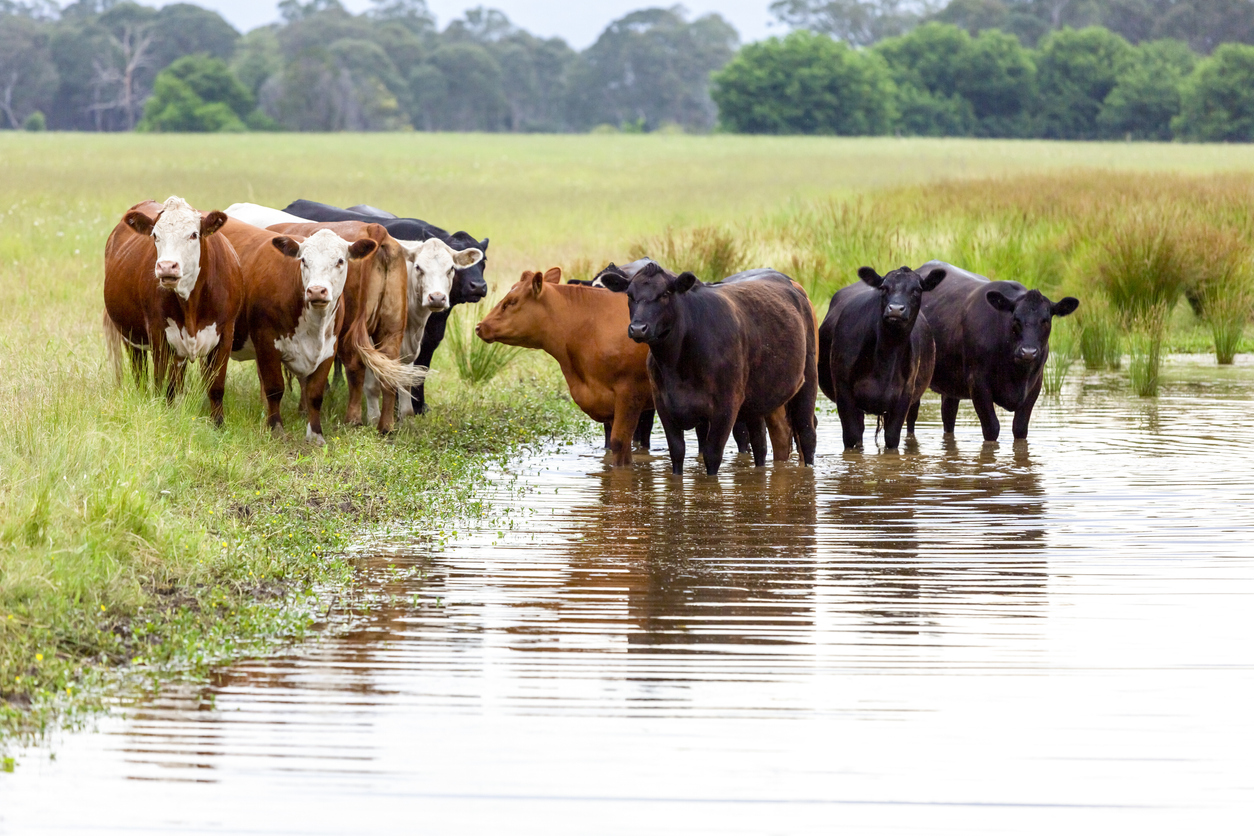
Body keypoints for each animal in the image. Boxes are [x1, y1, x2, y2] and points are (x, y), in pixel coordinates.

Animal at [103, 196, 243, 425]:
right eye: (155, 235)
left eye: (193, 234)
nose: (167, 266)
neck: (191, 304)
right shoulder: (158, 334)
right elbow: (162, 386)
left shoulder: (225, 334)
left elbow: (216, 387)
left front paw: (218, 425)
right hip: (131, 337)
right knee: (141, 376)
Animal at [281, 200, 490, 415]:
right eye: (419, 267)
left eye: (484, 261)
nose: (478, 286)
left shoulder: (428, 340)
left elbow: (418, 372)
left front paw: (419, 406)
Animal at [601, 262, 818, 476]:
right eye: (630, 295)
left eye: (665, 293)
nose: (638, 328)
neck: (677, 365)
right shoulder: (663, 404)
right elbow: (677, 452)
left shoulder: (726, 406)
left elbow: (712, 454)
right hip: (756, 400)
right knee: (760, 445)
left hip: (807, 380)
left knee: (807, 433)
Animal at [818, 265, 947, 450]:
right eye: (884, 288)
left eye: (917, 290)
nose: (896, 309)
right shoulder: (843, 390)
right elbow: (851, 437)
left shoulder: (905, 395)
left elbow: (892, 438)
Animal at [916, 260, 1079, 441]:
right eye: (1015, 319)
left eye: (1046, 320)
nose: (1028, 352)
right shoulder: (978, 383)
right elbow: (991, 428)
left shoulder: (1035, 384)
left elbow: (1020, 428)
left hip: (951, 385)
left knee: (948, 415)